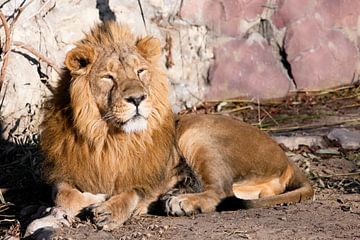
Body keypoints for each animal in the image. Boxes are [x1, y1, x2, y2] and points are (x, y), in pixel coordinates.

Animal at [40, 22, 314, 231]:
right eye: (108, 77)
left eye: (140, 72)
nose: (137, 98)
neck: (108, 137)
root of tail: (285, 157)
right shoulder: (66, 174)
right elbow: (63, 194)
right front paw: (87, 199)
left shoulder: (148, 178)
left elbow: (131, 192)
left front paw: (108, 209)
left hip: (196, 133)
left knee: (221, 193)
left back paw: (181, 202)